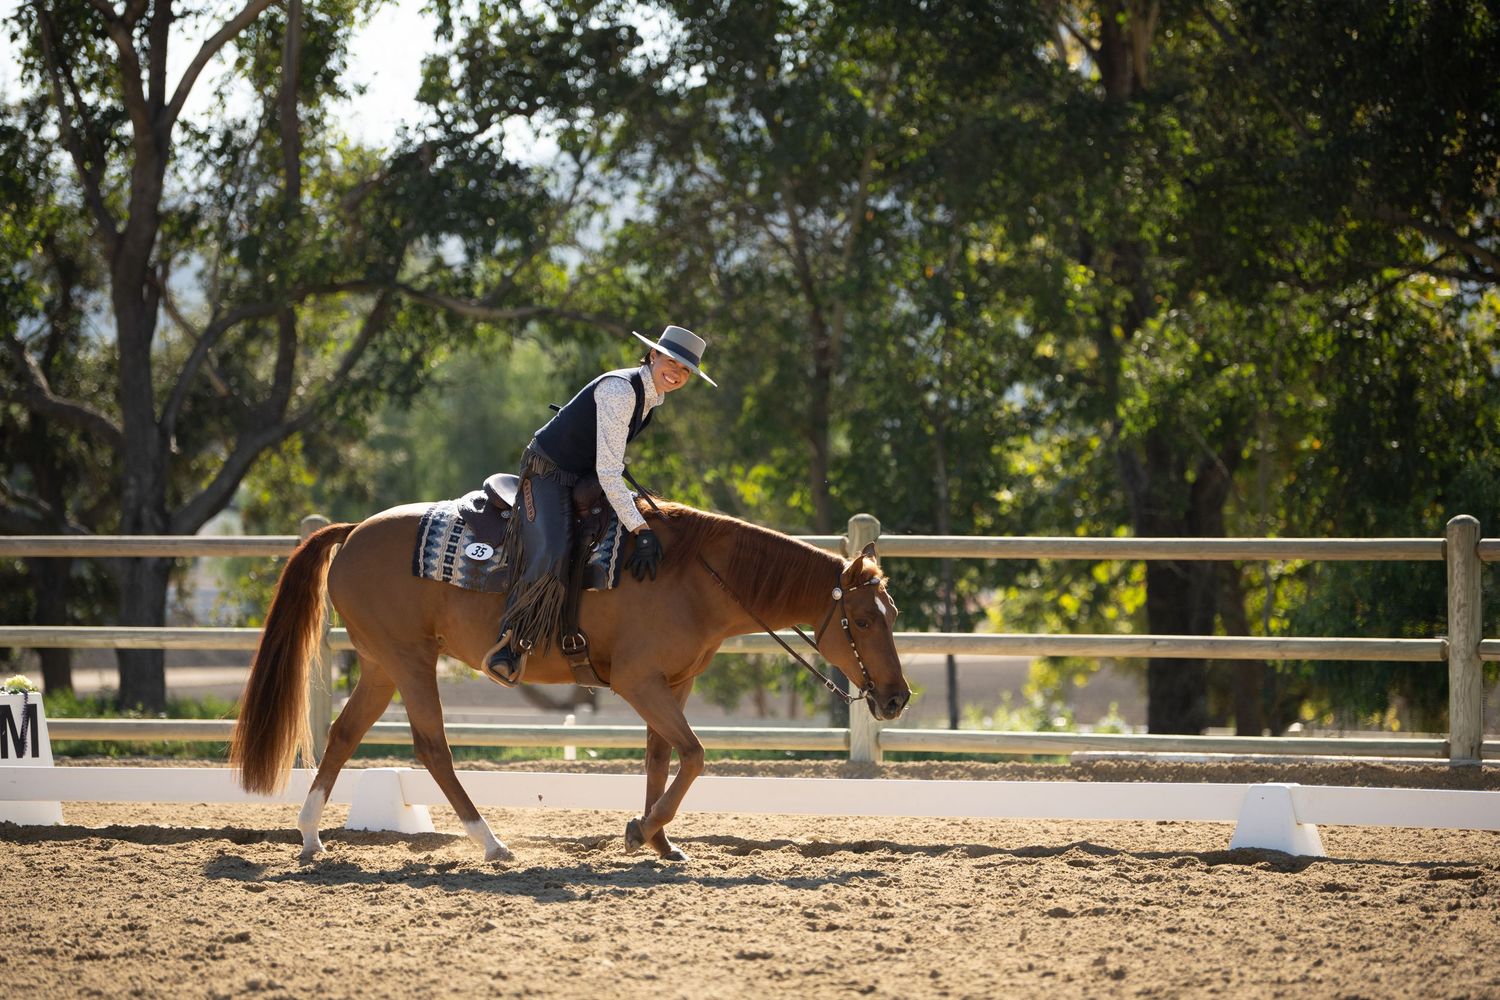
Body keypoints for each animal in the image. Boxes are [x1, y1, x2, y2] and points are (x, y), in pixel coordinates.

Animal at [229, 498, 912, 863]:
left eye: (893, 614)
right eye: (859, 619)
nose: (897, 697)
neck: (695, 576)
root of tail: (351, 533)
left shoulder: (673, 684)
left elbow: (662, 757)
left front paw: (658, 841)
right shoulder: (639, 681)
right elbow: (694, 755)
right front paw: (641, 831)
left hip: (381, 665)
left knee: (344, 735)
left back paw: (311, 838)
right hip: (410, 661)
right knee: (433, 748)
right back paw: (492, 845)